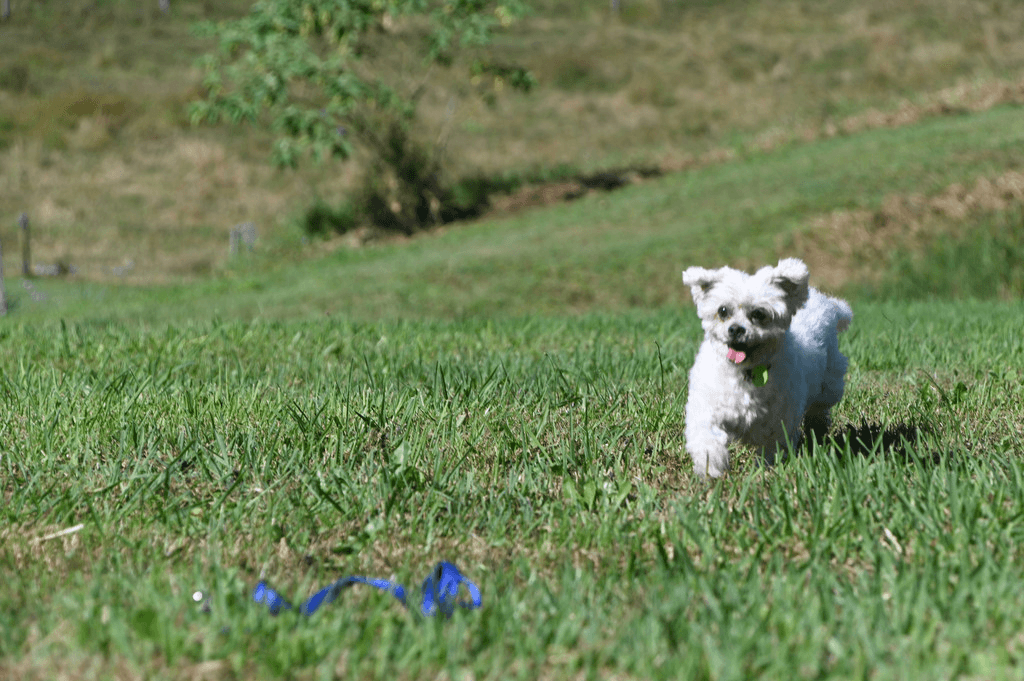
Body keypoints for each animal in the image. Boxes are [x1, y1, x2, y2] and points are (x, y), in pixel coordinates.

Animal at [684, 258, 851, 475]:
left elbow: (773, 447)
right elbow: (707, 438)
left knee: (819, 409)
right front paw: (711, 467)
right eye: (723, 311)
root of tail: (828, 303)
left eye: (759, 314)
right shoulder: (708, 407)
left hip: (828, 384)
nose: (736, 329)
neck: (745, 372)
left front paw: (765, 470)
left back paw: (817, 431)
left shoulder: (780, 420)